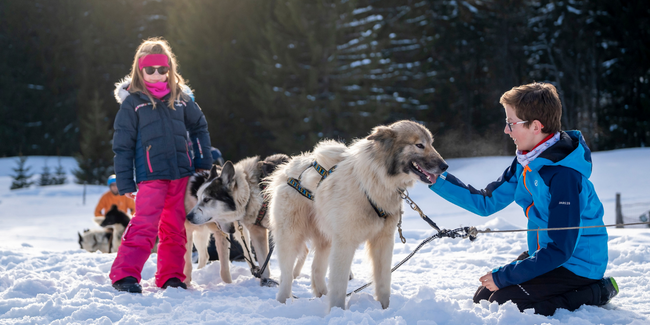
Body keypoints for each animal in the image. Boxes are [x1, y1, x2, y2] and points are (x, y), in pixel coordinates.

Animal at [266, 120, 442, 310]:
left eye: (431, 143)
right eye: (419, 145)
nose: (445, 166)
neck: (373, 184)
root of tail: (287, 170)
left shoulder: (383, 241)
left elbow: (383, 280)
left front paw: (385, 309)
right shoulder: (345, 242)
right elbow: (339, 284)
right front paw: (337, 311)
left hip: (326, 240)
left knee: (316, 270)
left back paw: (322, 296)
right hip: (291, 238)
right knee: (286, 276)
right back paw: (282, 303)